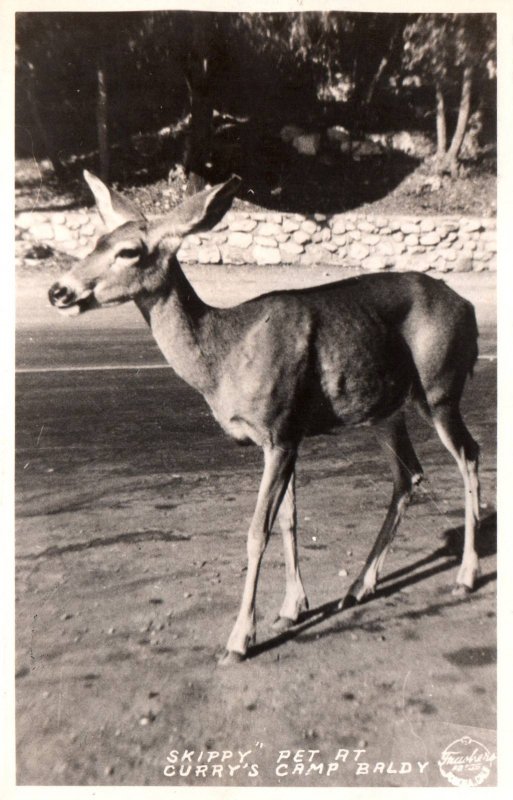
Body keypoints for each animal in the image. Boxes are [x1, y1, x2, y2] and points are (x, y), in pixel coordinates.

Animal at [48, 172, 480, 664]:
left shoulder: (278, 431)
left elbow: (258, 530)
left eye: (129, 251)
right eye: (96, 240)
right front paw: (292, 607)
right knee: (408, 474)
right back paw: (359, 586)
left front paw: (239, 639)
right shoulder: (286, 434)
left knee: (469, 455)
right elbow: (289, 518)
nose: (59, 290)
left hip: (440, 387)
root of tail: (468, 307)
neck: (223, 355)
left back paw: (465, 576)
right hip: (384, 409)